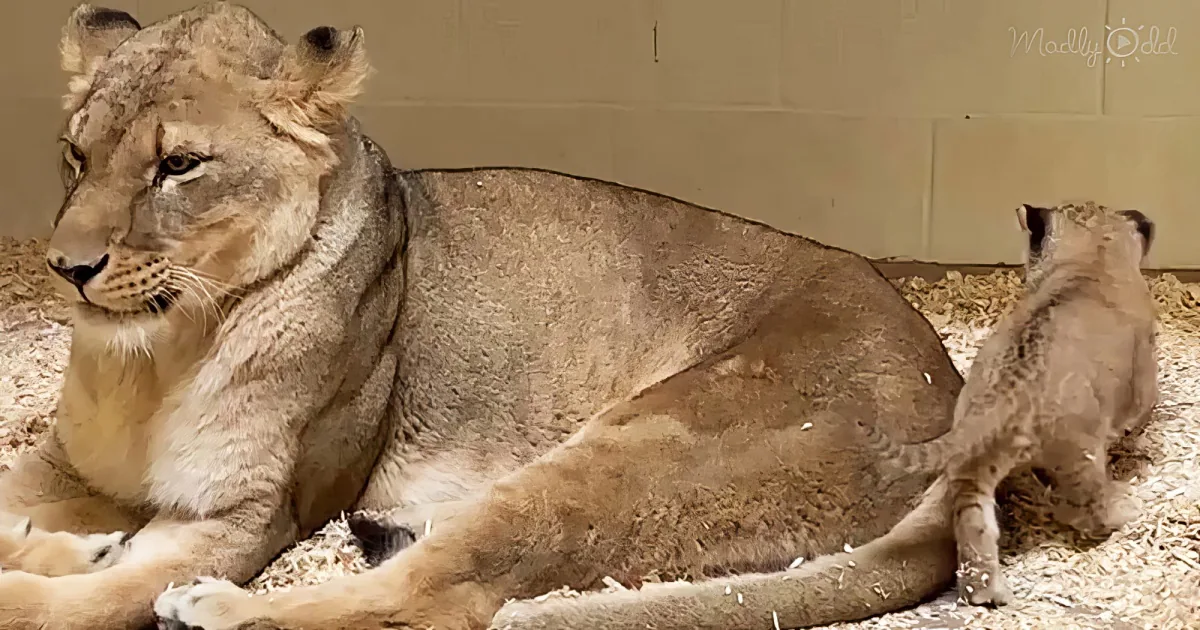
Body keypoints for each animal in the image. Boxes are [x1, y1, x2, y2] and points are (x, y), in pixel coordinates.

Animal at [0, 3, 966, 629]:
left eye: (179, 166)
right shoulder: (70, 466)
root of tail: (951, 386)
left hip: (649, 443)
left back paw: (216, 611)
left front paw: (78, 573)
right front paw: (56, 543)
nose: (66, 269)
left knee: (437, 596)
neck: (152, 359)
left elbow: (88, 605)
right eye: (75, 155)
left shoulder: (247, 513)